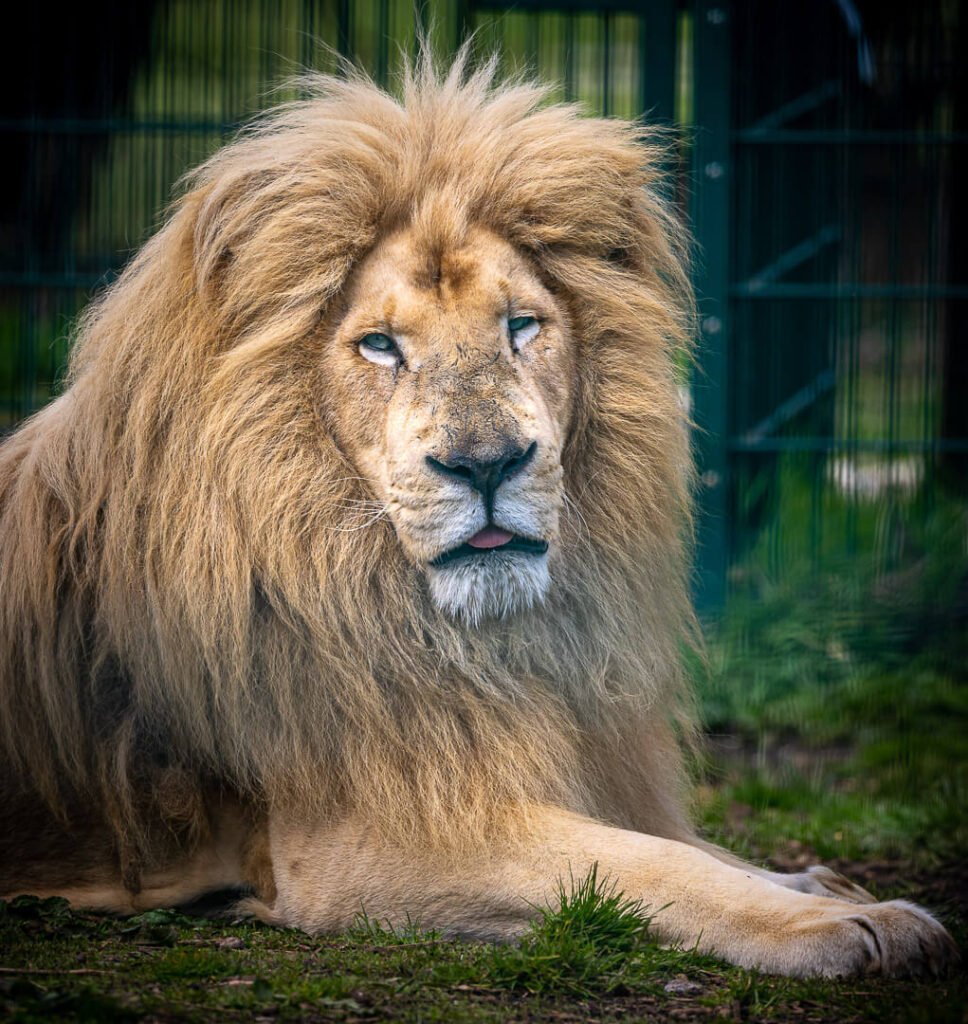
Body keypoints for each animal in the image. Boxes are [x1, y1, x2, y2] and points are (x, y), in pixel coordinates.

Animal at [0, 54, 950, 974]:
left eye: (521, 326)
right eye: (379, 345)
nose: (486, 465)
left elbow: (685, 845)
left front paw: (818, 884)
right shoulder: (366, 838)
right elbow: (650, 861)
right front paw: (850, 923)